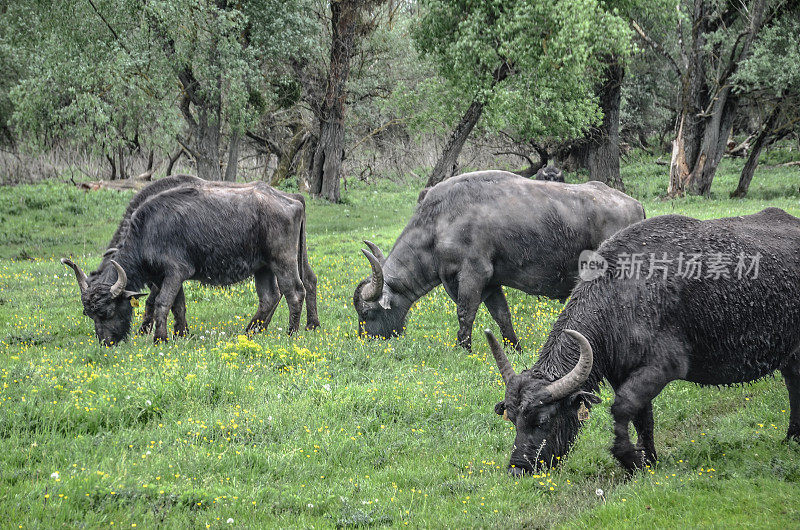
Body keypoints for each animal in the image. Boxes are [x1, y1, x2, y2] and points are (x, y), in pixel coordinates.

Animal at [63, 178, 318, 342]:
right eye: (89, 314)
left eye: (107, 312)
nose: (106, 342)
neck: (148, 231)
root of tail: (293, 199)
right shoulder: (165, 277)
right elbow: (178, 305)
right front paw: (182, 334)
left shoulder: (175, 273)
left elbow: (161, 303)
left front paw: (160, 338)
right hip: (263, 267)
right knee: (271, 296)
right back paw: (251, 332)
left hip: (282, 261)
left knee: (295, 291)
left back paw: (292, 333)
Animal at [354, 171, 648, 348]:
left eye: (367, 313)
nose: (365, 340)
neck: (439, 224)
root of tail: (636, 205)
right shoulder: (491, 283)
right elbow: (502, 316)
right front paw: (513, 346)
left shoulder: (473, 275)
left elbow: (465, 313)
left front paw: (463, 348)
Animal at [488, 205, 800, 470]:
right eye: (512, 419)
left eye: (542, 420)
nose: (518, 468)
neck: (619, 298)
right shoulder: (622, 374)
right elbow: (642, 419)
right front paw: (649, 460)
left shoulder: (662, 368)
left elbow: (622, 408)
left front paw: (629, 458)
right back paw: (791, 438)